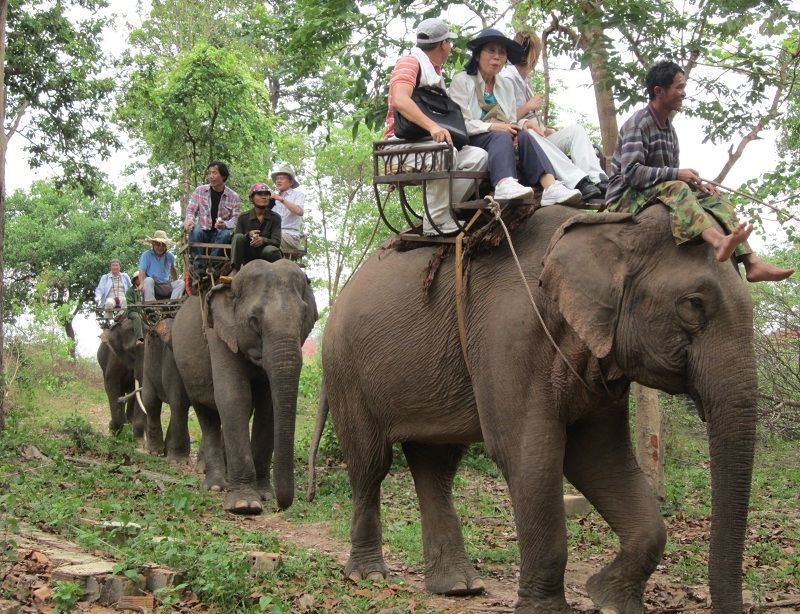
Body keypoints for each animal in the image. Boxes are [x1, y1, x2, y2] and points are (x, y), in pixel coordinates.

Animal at [172, 258, 316, 516]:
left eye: (303, 318)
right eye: (254, 320)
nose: (282, 505)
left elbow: (268, 406)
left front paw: (265, 495)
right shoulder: (218, 334)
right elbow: (234, 397)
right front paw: (244, 505)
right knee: (206, 414)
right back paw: (217, 485)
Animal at [310, 205, 756, 612]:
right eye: (693, 304)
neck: (610, 224)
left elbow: (599, 456)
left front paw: (610, 600)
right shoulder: (509, 334)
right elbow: (529, 454)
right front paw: (553, 609)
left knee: (435, 465)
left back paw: (458, 586)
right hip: (346, 370)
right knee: (370, 463)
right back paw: (369, 576)